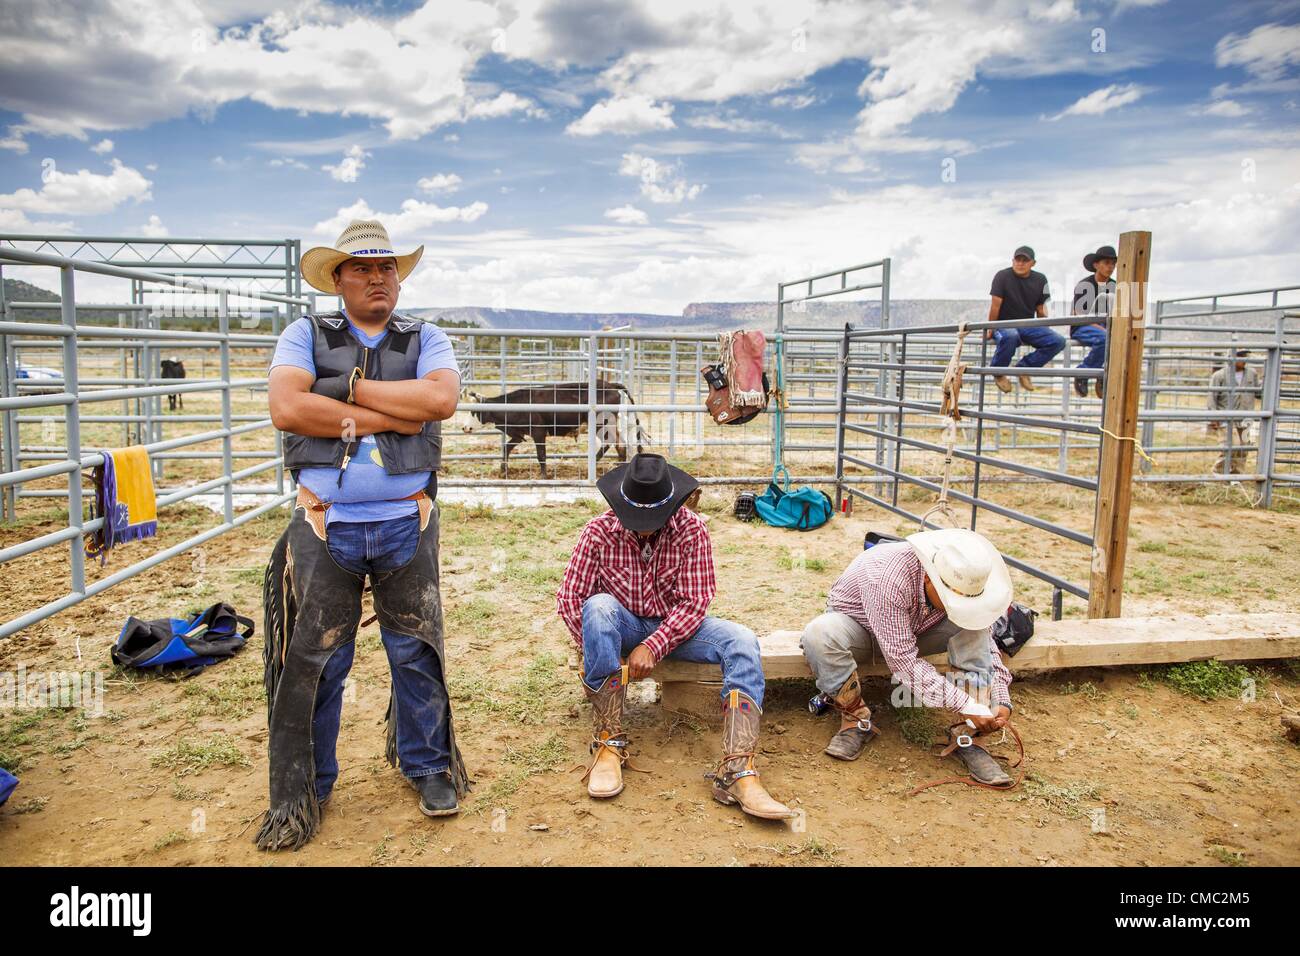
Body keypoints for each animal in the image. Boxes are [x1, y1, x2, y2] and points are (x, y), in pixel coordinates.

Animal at [467, 382, 650, 478]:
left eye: (474, 411)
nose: (465, 427)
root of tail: (610, 384)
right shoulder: (519, 433)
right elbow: (506, 448)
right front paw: (503, 470)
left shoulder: (538, 432)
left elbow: (541, 455)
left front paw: (543, 476)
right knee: (619, 444)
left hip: (601, 425)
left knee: (611, 443)